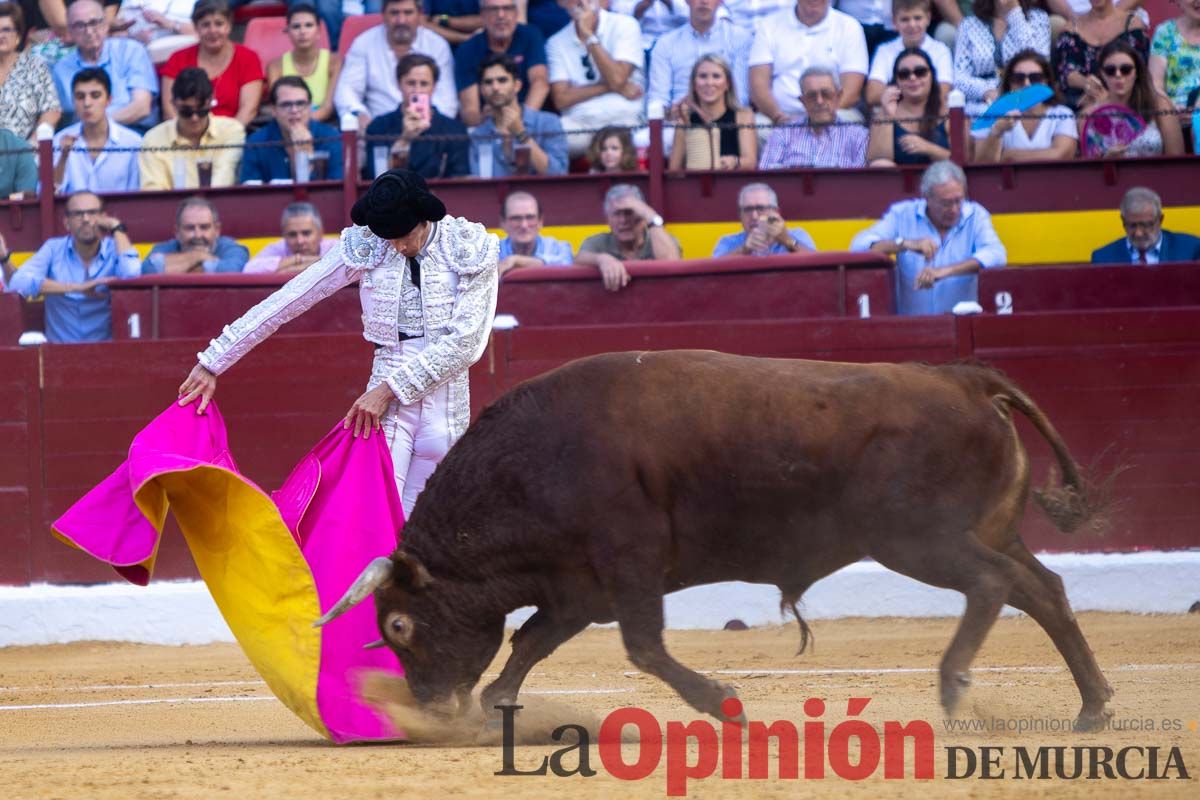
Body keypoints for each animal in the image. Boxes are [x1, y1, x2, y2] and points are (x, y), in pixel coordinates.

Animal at [316, 350, 1113, 734]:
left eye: (398, 624)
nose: (429, 709)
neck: (534, 462)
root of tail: (966, 379)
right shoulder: (577, 587)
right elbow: (531, 642)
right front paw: (496, 710)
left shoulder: (627, 565)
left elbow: (643, 647)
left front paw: (725, 703)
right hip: (983, 531)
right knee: (1044, 589)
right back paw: (1091, 709)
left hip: (920, 540)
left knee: (994, 585)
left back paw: (954, 689)